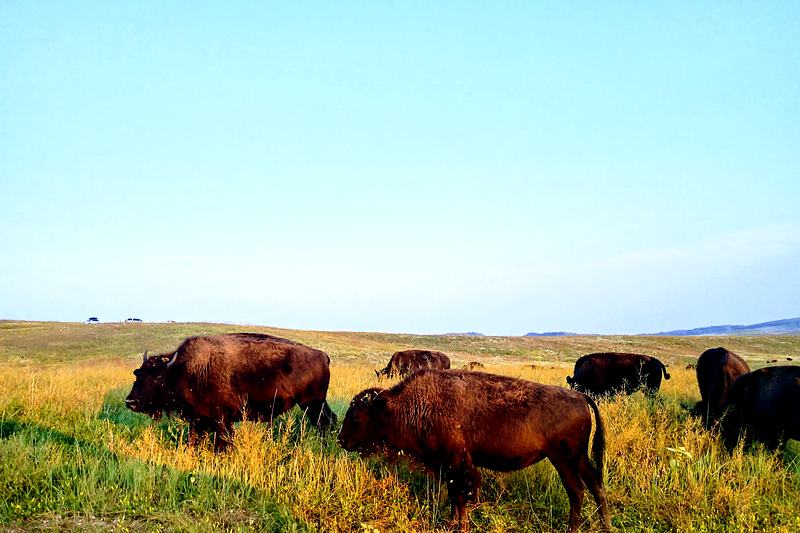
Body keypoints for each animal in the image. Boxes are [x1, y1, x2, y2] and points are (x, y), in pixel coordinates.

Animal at [126, 333, 336, 451]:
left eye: (157, 377)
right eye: (137, 373)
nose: (130, 402)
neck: (182, 370)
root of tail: (322, 355)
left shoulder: (221, 419)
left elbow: (222, 442)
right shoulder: (198, 419)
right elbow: (193, 441)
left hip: (311, 404)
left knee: (324, 424)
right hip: (317, 404)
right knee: (330, 420)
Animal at [339, 369, 612, 532]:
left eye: (357, 416)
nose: (341, 440)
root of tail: (580, 396)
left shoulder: (457, 464)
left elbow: (460, 496)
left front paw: (460, 526)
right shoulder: (447, 466)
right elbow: (453, 497)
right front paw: (452, 523)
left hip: (564, 460)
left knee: (577, 491)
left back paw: (572, 529)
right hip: (579, 458)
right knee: (595, 485)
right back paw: (605, 525)